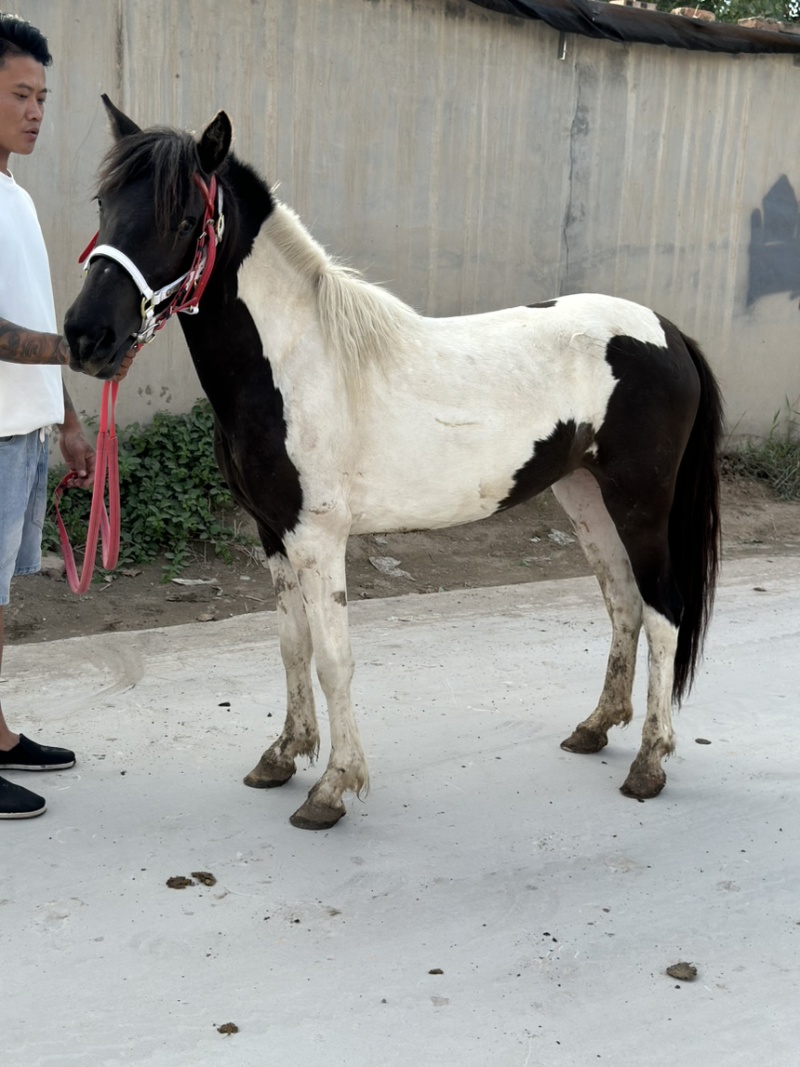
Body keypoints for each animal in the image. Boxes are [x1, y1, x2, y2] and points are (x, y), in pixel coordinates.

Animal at [64, 97, 723, 830]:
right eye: (104, 203)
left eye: (183, 219)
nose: (87, 337)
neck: (296, 362)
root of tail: (668, 331)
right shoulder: (273, 533)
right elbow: (292, 645)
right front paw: (282, 755)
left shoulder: (318, 537)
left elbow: (334, 660)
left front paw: (331, 788)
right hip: (584, 495)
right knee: (623, 602)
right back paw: (596, 727)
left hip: (642, 503)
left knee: (664, 612)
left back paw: (650, 763)